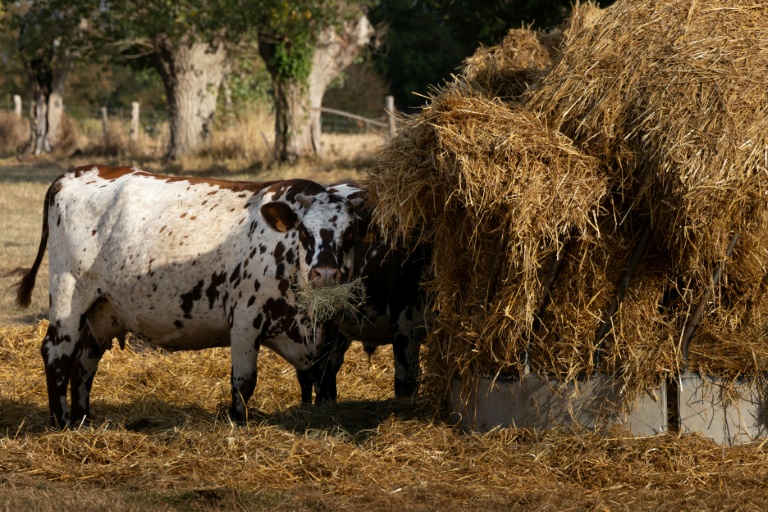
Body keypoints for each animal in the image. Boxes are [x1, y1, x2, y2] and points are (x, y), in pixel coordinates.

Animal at [14, 165, 364, 428]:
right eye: (305, 232)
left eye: (350, 233)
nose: (326, 275)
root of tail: (74, 173)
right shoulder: (245, 320)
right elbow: (243, 382)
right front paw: (238, 423)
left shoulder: (330, 342)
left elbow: (323, 384)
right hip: (69, 296)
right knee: (57, 353)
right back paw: (61, 423)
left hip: (102, 309)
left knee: (85, 361)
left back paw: (82, 420)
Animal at [296, 181, 431, 403]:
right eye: (305, 231)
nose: (325, 274)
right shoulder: (405, 328)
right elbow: (405, 385)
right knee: (309, 374)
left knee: (327, 373)